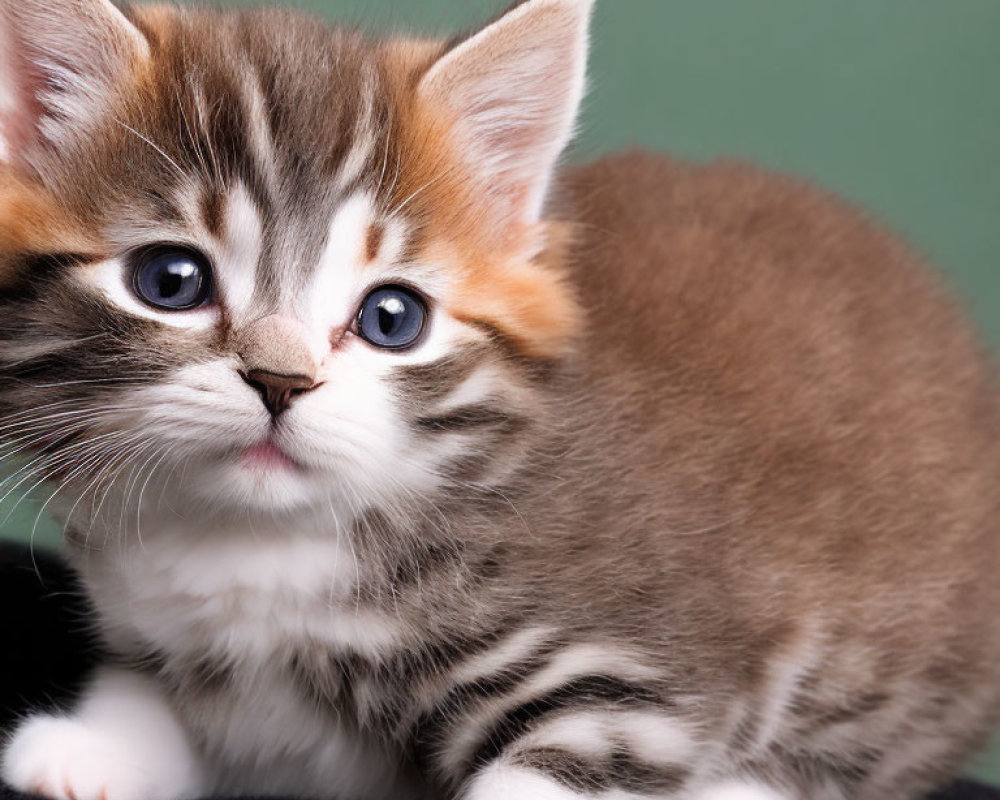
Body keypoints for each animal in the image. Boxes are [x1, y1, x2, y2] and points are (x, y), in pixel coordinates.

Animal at [1, 0, 1000, 796]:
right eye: (171, 281)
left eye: (392, 317)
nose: (282, 381)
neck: (262, 547)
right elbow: (146, 690)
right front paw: (93, 749)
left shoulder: (630, 682)